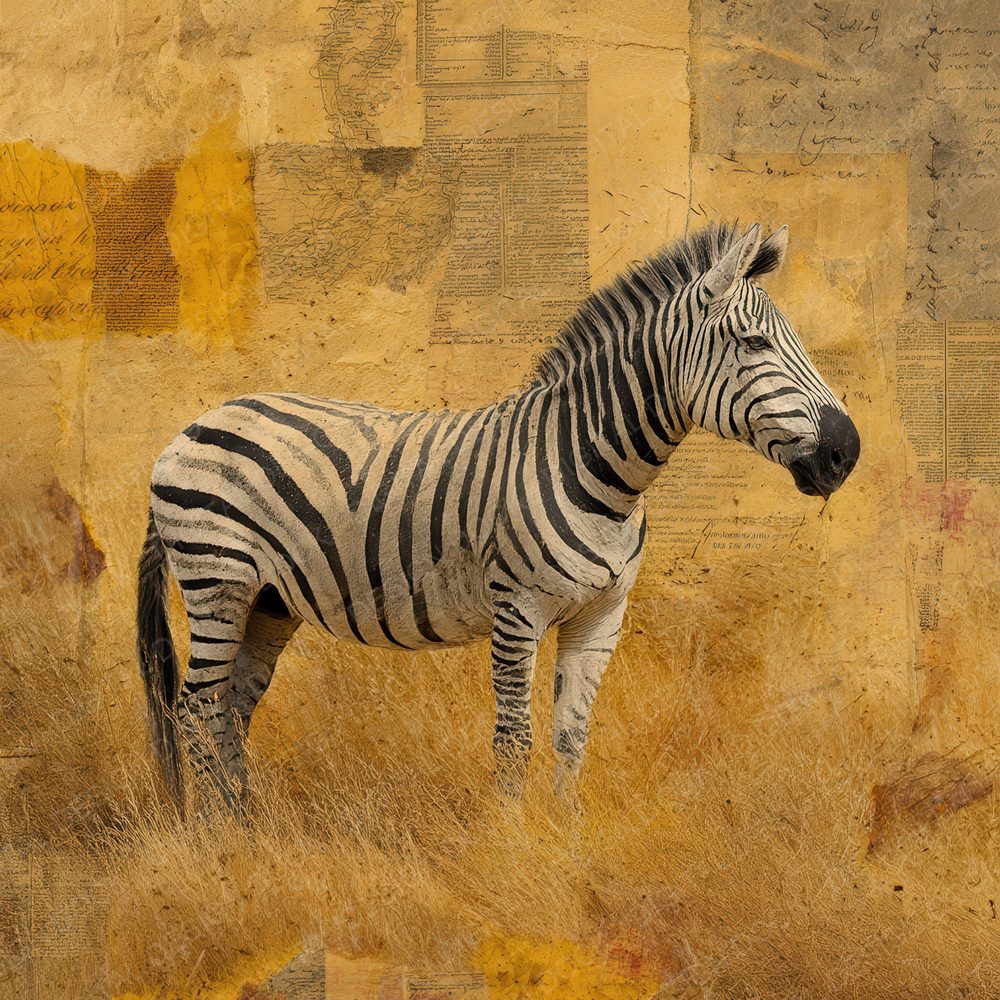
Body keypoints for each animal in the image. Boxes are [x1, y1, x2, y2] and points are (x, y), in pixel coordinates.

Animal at [137, 221, 860, 813]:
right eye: (754, 342)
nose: (846, 452)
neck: (597, 473)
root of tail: (190, 427)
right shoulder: (518, 611)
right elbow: (514, 739)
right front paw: (511, 845)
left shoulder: (601, 617)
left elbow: (572, 736)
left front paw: (567, 845)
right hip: (217, 581)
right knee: (196, 708)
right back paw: (218, 839)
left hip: (270, 599)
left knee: (231, 706)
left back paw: (247, 827)